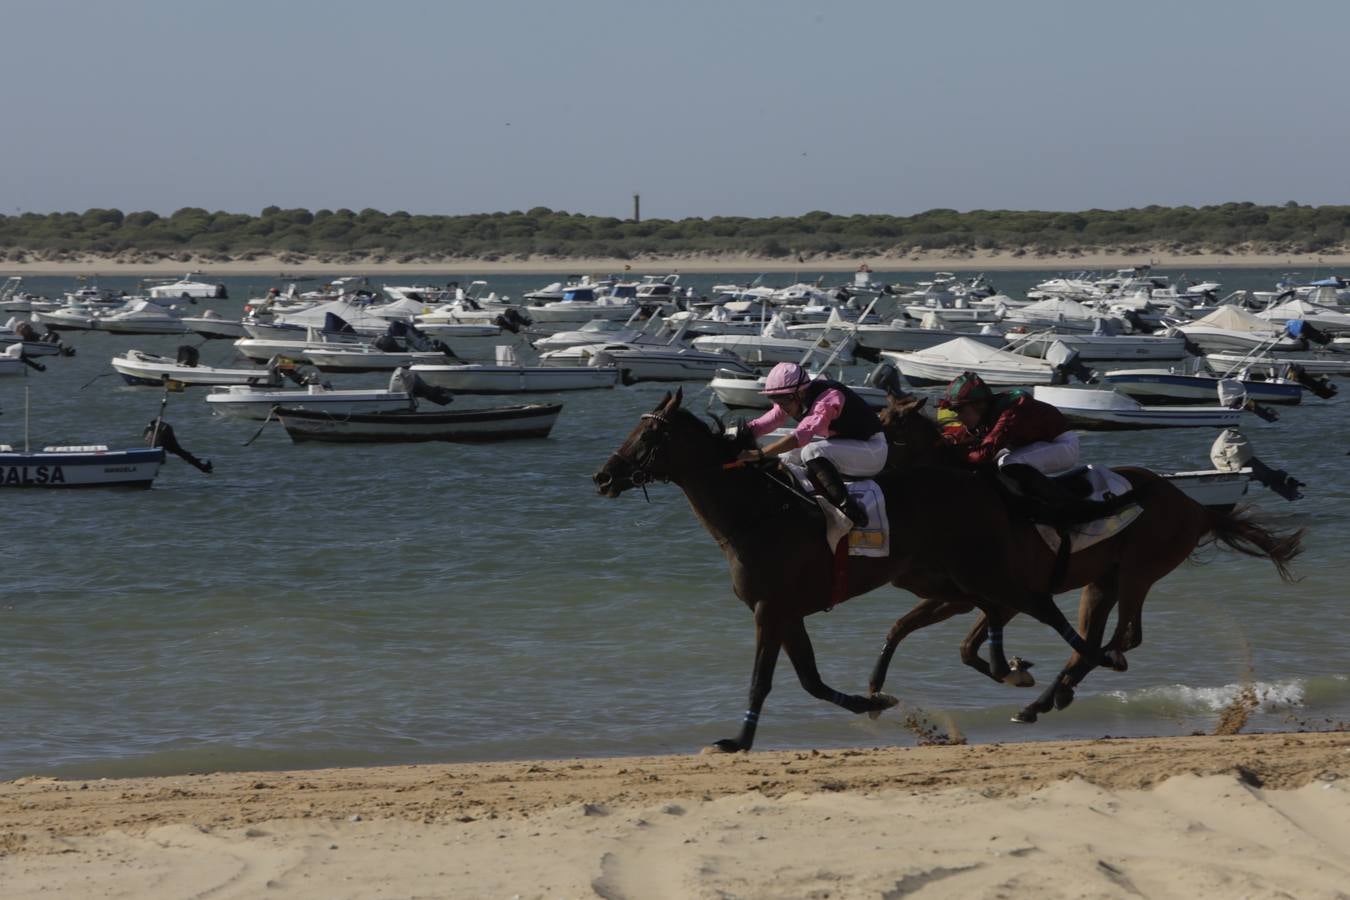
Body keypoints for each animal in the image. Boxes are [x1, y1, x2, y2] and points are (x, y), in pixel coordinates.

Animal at [874, 396, 1306, 723]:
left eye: (882, 429)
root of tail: (1195, 507)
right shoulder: (960, 596)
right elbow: (905, 629)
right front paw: (876, 690)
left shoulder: (1011, 595)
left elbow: (968, 645)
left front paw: (1016, 673)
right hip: (1102, 583)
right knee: (1093, 642)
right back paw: (1045, 700)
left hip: (1139, 572)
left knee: (1121, 639)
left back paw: (1066, 687)